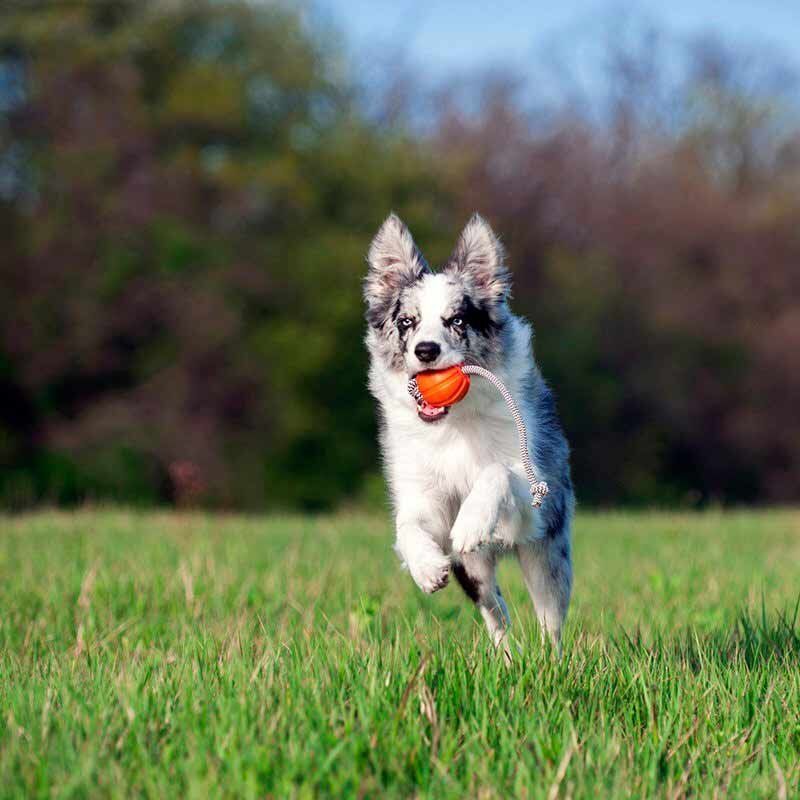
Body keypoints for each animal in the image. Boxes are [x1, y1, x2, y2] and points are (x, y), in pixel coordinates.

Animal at [362, 214, 576, 648]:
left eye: (457, 320)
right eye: (407, 323)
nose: (426, 350)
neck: (453, 424)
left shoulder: (532, 494)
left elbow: (495, 472)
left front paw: (471, 522)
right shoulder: (423, 492)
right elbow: (408, 524)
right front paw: (426, 567)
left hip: (547, 553)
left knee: (549, 619)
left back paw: (550, 659)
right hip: (473, 571)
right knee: (497, 612)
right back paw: (507, 656)